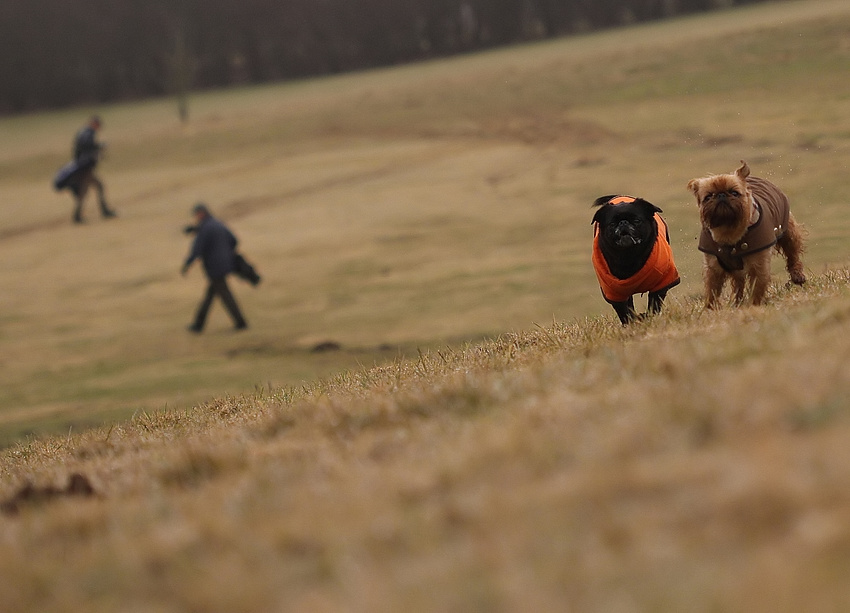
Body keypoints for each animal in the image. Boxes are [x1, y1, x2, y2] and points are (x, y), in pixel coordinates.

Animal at [592, 195, 680, 326]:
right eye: (612, 224)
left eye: (637, 220)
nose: (623, 222)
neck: (629, 256)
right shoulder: (615, 293)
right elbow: (624, 311)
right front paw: (632, 323)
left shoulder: (661, 284)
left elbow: (654, 304)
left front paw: (648, 317)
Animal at [684, 161, 804, 308]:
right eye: (708, 197)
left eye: (734, 193)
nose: (721, 195)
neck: (729, 232)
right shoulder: (713, 269)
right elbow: (712, 291)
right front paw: (710, 309)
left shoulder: (759, 267)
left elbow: (756, 288)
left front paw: (754, 305)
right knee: (738, 284)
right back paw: (737, 303)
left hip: (789, 233)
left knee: (793, 255)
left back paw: (797, 275)